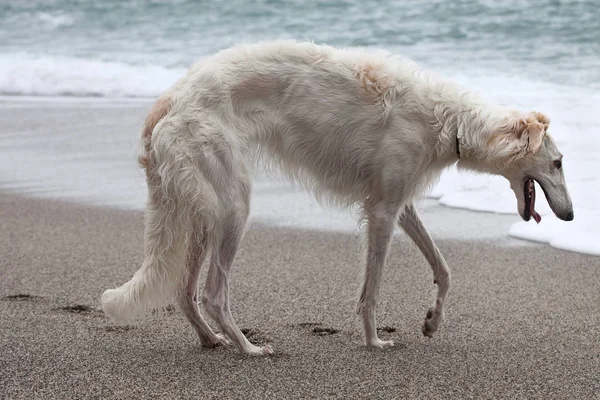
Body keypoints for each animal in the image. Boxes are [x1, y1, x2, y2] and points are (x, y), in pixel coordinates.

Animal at [101, 39, 576, 354]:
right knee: (213, 293)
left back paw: (212, 339)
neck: (449, 120)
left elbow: (444, 268)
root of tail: (166, 102)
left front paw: (431, 322)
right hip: (233, 205)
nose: (571, 216)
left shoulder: (398, 202)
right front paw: (374, 340)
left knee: (185, 291)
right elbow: (372, 290)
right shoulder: (382, 211)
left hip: (204, 209)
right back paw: (248, 348)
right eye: (558, 163)